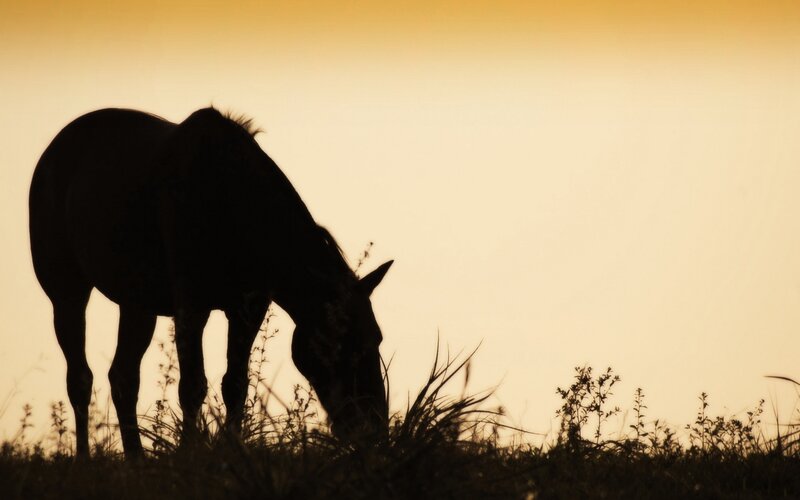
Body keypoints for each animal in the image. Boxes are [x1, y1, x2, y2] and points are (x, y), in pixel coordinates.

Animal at [29, 107, 393, 457]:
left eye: (377, 338)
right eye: (345, 344)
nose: (374, 427)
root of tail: (50, 156)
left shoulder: (248, 308)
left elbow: (235, 384)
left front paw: (233, 449)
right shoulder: (191, 306)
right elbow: (192, 386)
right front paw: (189, 455)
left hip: (137, 305)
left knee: (123, 377)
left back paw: (136, 459)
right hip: (67, 293)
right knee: (80, 378)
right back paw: (84, 459)